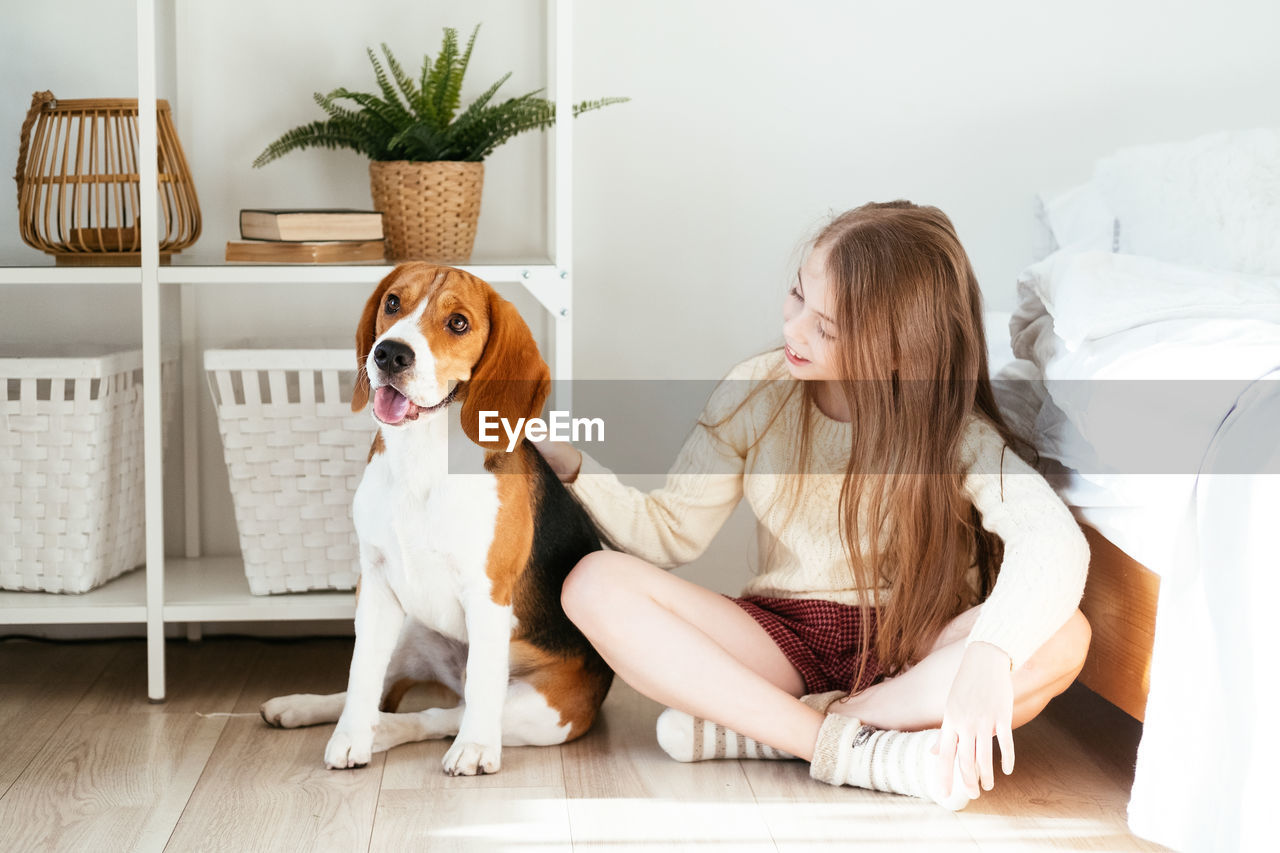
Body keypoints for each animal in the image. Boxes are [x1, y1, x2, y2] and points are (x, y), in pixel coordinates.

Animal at [258, 262, 609, 773]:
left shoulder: (487, 592)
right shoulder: (375, 583)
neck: (420, 456)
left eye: (458, 323)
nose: (389, 354)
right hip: (408, 628)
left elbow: (480, 684)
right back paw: (306, 709)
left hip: (541, 710)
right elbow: (361, 674)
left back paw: (408, 734)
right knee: (381, 692)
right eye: (392, 303)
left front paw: (476, 748)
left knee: (442, 715)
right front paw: (350, 737)